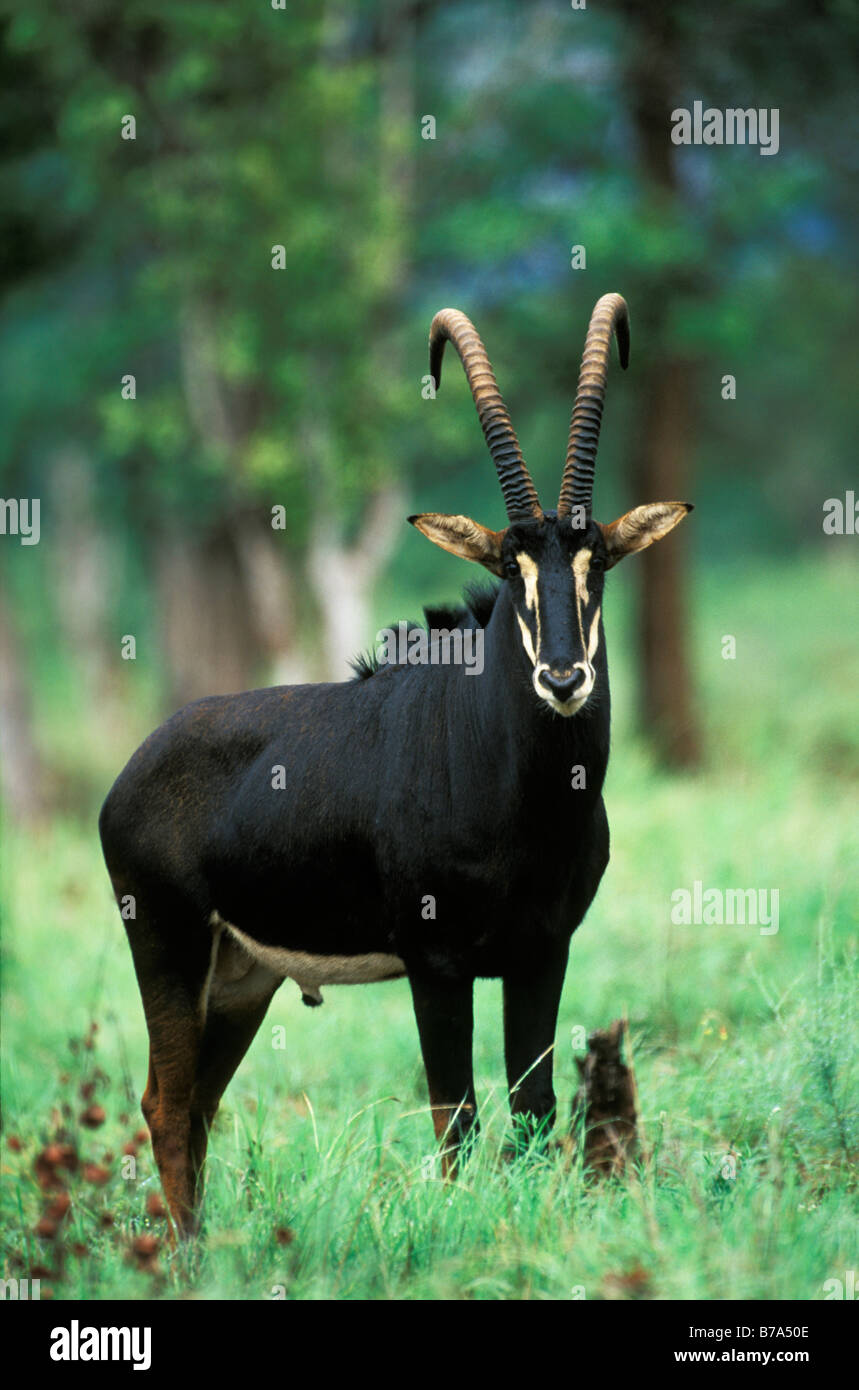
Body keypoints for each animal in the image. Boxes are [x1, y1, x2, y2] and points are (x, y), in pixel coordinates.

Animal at [99, 293, 692, 1237]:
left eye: (595, 557)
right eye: (510, 563)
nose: (564, 678)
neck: (524, 796)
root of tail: (128, 774)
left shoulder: (541, 952)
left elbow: (531, 1110)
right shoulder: (435, 962)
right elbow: (457, 1116)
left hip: (239, 979)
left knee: (192, 1105)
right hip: (167, 943)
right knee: (168, 1101)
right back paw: (191, 1256)